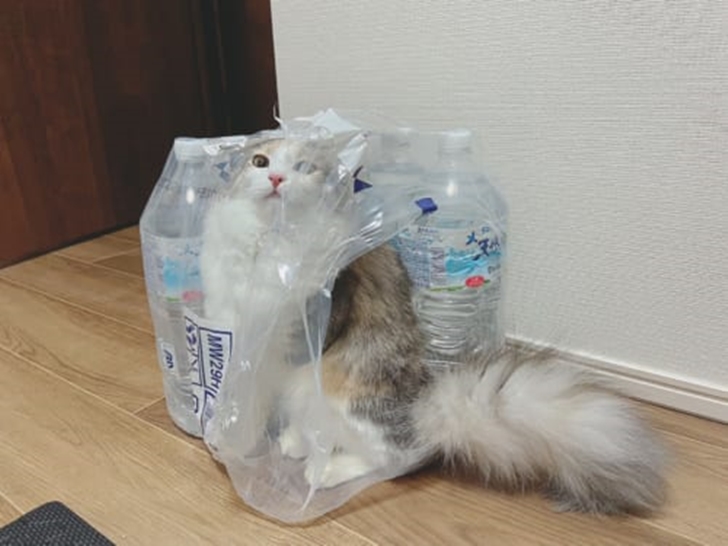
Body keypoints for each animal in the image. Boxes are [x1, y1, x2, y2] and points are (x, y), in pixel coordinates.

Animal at [200, 137, 669, 516]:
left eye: (304, 167)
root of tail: (426, 411)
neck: (269, 246)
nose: (277, 178)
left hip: (346, 397)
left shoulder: (314, 320)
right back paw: (296, 447)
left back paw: (326, 470)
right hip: (307, 394)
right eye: (260, 161)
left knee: (389, 458)